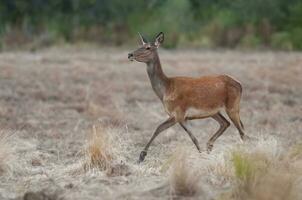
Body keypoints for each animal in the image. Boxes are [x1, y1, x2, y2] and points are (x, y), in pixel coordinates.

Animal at [129, 31, 249, 162]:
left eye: (148, 47)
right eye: (141, 45)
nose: (130, 54)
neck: (166, 90)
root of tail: (240, 84)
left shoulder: (179, 113)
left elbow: (165, 129)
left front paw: (142, 156)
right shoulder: (180, 116)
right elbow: (164, 130)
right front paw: (141, 156)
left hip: (232, 106)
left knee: (242, 131)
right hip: (214, 111)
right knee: (226, 123)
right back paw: (209, 146)